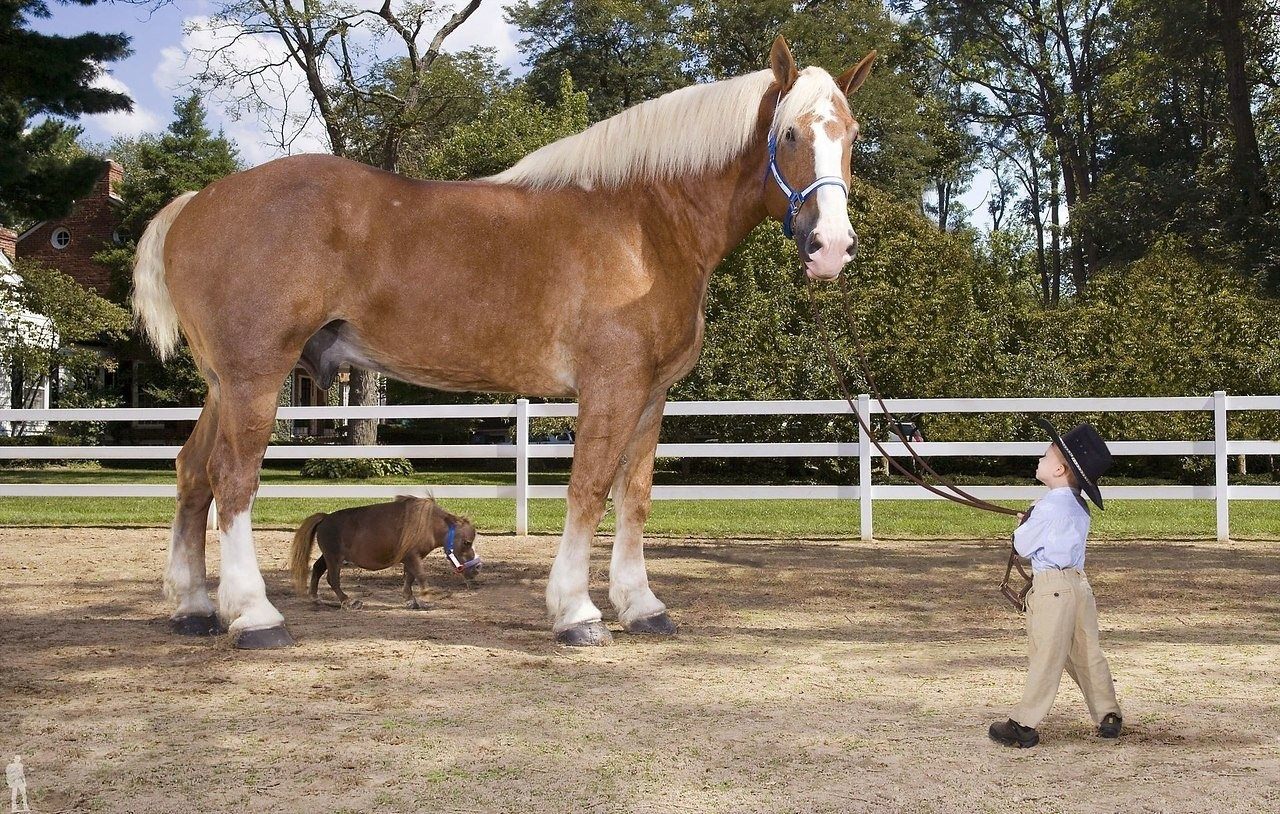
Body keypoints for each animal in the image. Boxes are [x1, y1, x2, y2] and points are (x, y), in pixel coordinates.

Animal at [135, 38, 875, 647]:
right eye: (788, 133)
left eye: (852, 134)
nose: (831, 247)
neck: (644, 223)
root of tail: (195, 203)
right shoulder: (609, 389)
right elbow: (589, 489)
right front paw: (576, 612)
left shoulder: (651, 395)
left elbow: (633, 497)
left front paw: (641, 606)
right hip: (256, 377)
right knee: (232, 479)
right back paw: (254, 617)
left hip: (223, 384)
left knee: (192, 473)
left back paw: (195, 608)